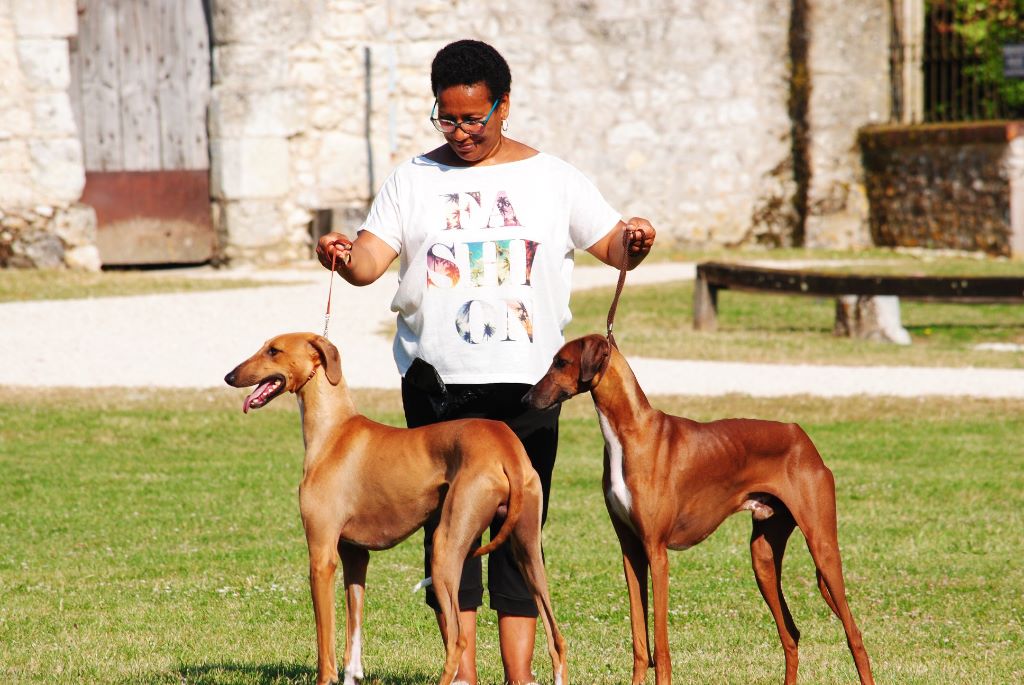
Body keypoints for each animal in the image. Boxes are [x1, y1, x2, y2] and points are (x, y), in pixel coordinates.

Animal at [223, 331, 569, 683]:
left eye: (274, 351)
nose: (230, 377)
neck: (334, 431)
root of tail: (505, 446)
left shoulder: (322, 557)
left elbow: (325, 643)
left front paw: (328, 677)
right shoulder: (355, 555)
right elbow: (353, 631)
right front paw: (352, 675)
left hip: (445, 548)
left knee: (458, 640)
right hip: (527, 552)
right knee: (556, 638)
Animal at [524, 335, 876, 683]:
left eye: (561, 362)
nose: (527, 399)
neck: (630, 432)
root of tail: (801, 436)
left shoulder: (657, 552)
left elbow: (661, 649)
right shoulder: (631, 552)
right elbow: (640, 644)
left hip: (822, 547)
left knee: (854, 635)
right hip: (763, 557)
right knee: (790, 634)